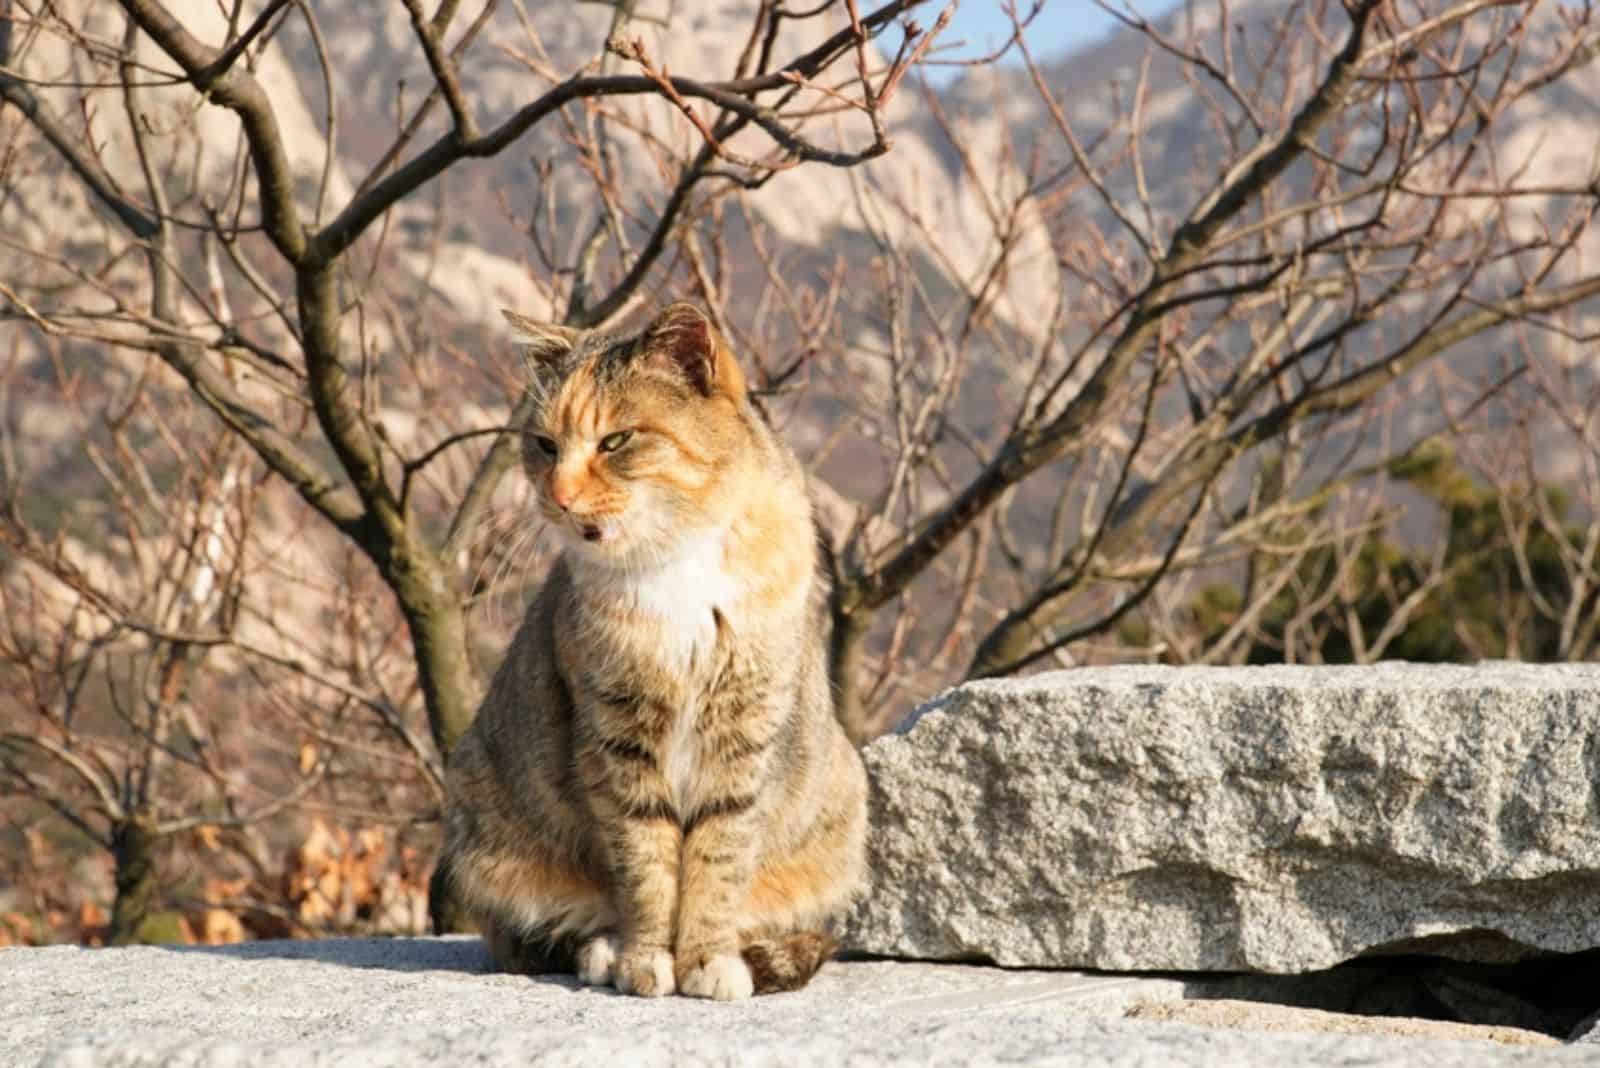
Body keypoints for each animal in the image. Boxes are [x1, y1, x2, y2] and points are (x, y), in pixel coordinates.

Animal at [435, 302, 864, 1004]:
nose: (556, 496)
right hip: (483, 806)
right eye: (545, 445)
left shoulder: (745, 733)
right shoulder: (616, 738)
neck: (677, 564)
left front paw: (707, 958)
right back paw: (605, 949)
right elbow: (645, 865)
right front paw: (646, 958)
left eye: (616, 441)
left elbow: (720, 858)